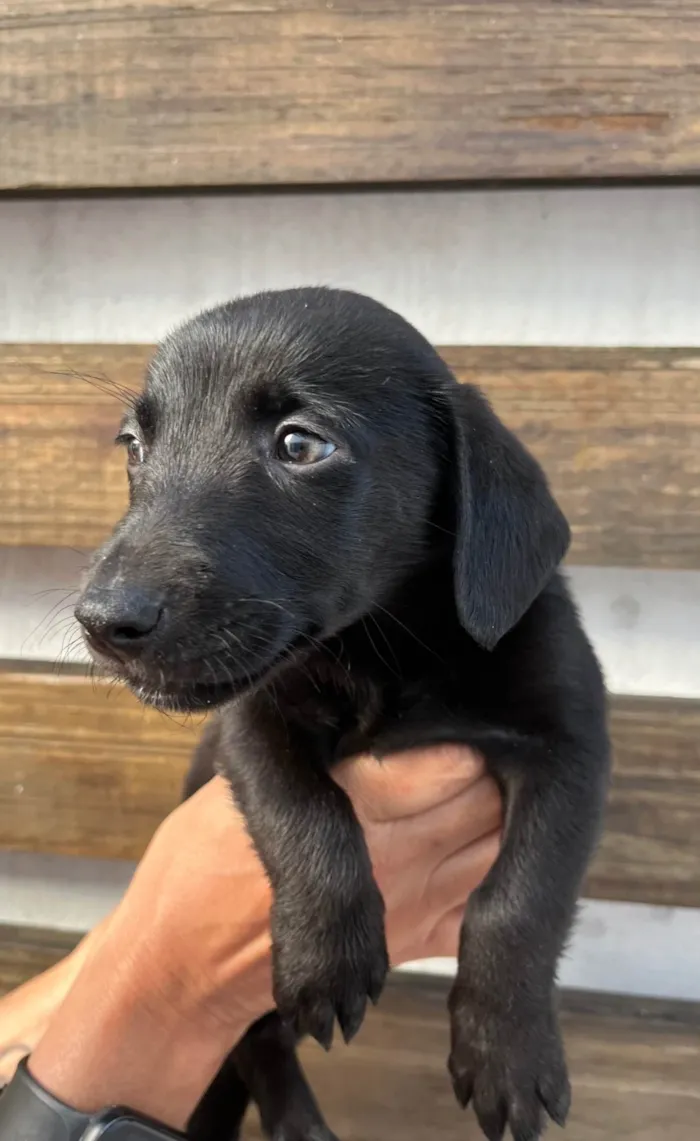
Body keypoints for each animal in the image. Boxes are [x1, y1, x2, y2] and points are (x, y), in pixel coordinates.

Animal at [76, 289, 607, 1141]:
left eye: (301, 444)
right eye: (134, 445)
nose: (103, 620)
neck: (386, 653)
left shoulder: (572, 748)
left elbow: (523, 895)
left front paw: (507, 1047)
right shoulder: (250, 727)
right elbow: (306, 811)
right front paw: (328, 956)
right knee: (256, 1042)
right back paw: (298, 1122)